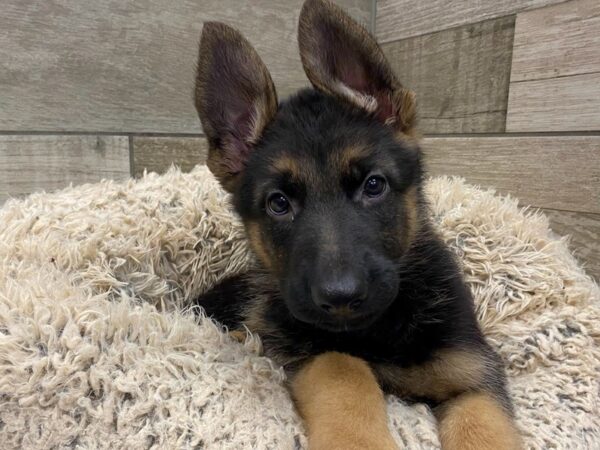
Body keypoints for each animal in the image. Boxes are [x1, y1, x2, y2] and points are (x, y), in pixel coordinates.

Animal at [193, 0, 520, 450]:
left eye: (373, 185)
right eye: (278, 204)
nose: (341, 296)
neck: (377, 329)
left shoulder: (474, 376)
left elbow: (485, 427)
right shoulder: (304, 349)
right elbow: (342, 367)